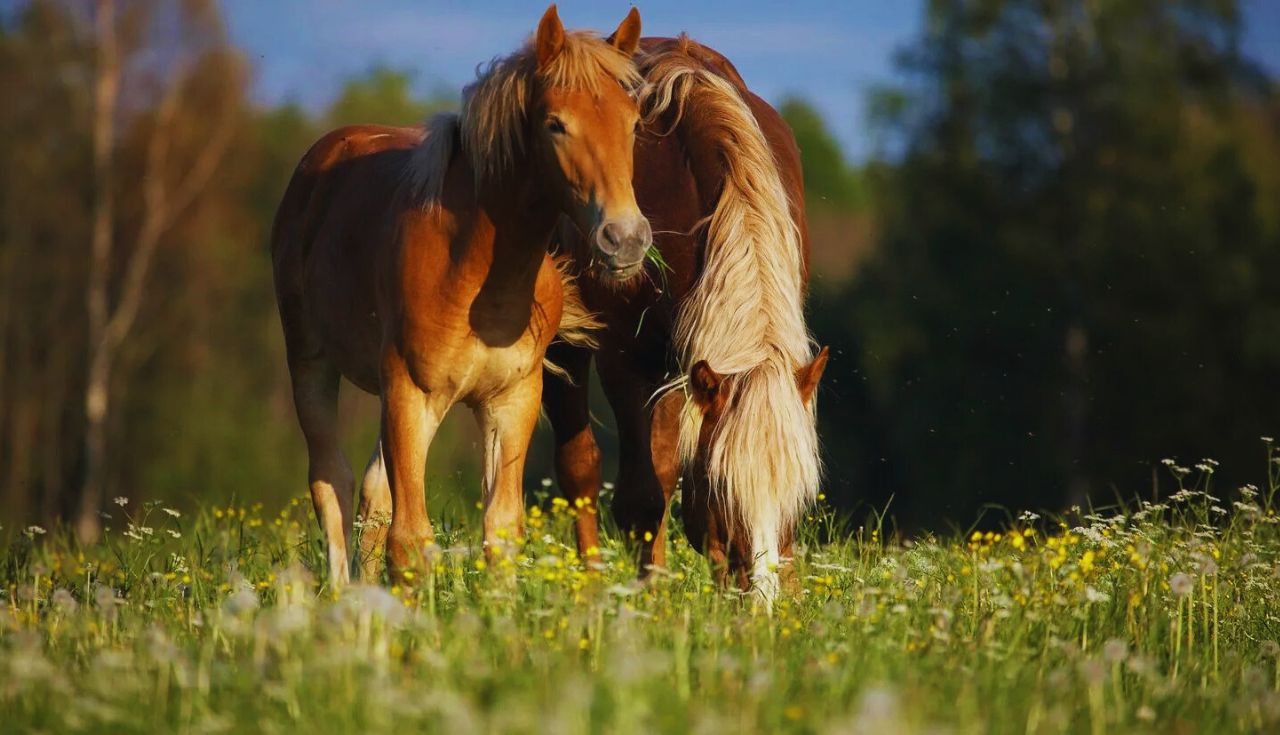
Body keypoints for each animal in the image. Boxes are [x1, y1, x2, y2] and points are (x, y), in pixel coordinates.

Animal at [270, 1, 650, 589]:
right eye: (555, 124)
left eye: (633, 123)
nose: (625, 238)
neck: (476, 274)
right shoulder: (411, 393)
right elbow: (410, 539)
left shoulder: (511, 400)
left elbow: (501, 529)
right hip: (313, 363)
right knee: (331, 482)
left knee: (372, 493)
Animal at [542, 36, 829, 599]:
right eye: (722, 488)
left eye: (800, 494)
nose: (761, 600)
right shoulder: (627, 359)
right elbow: (641, 498)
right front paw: (649, 601)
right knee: (581, 467)